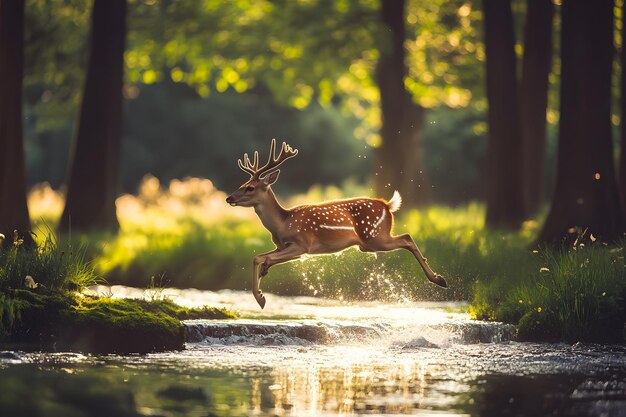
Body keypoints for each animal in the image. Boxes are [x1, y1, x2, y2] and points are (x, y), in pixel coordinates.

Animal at [227, 138, 446, 308]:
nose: (229, 198)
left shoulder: (302, 245)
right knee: (406, 238)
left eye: (250, 188)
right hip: (369, 244)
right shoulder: (285, 248)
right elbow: (259, 257)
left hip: (375, 237)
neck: (283, 224)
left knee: (407, 237)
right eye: (242, 184)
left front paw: (261, 296)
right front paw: (261, 293)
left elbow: (263, 258)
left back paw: (439, 279)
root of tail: (387, 205)